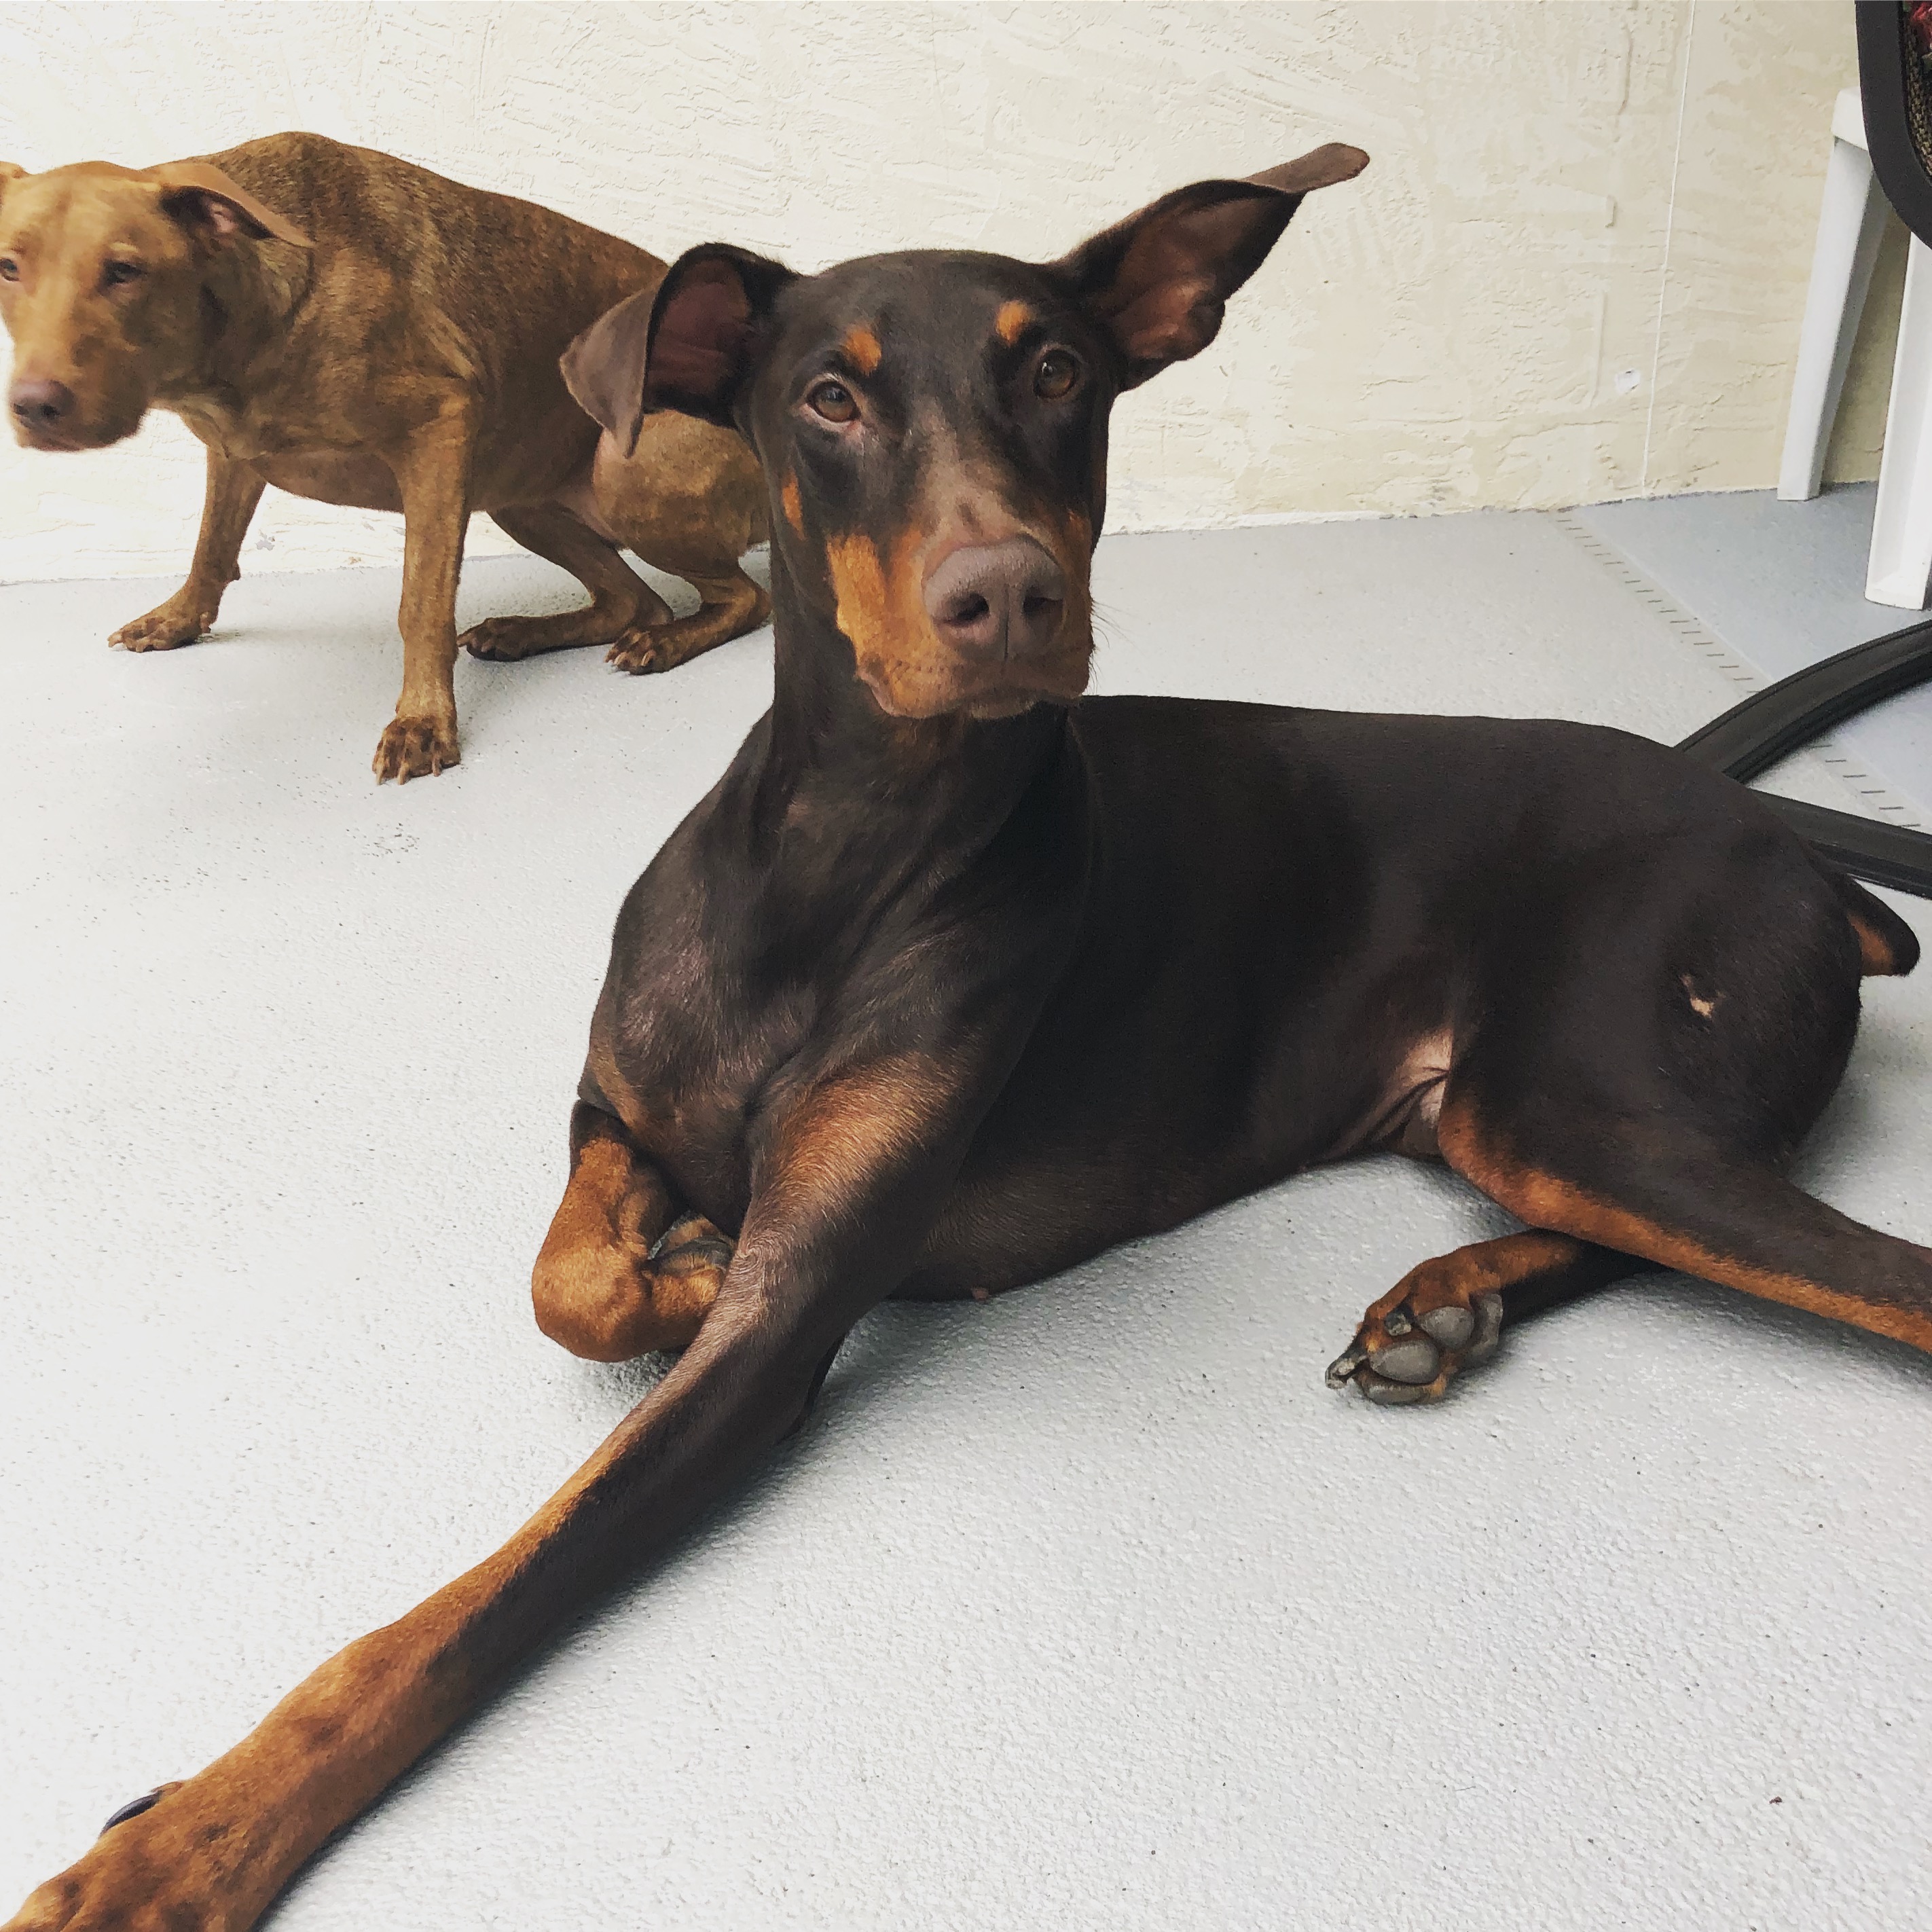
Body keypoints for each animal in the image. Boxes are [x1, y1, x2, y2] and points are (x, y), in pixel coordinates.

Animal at [0, 133, 768, 782]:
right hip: (518, 498)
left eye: (125, 271)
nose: (33, 407)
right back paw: (524, 633)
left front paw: (424, 721)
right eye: (8, 268)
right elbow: (211, 548)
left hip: (619, 472)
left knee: (743, 600)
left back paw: (664, 644)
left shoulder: (439, 430)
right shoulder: (235, 453)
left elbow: (420, 603)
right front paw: (179, 620)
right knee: (635, 601)